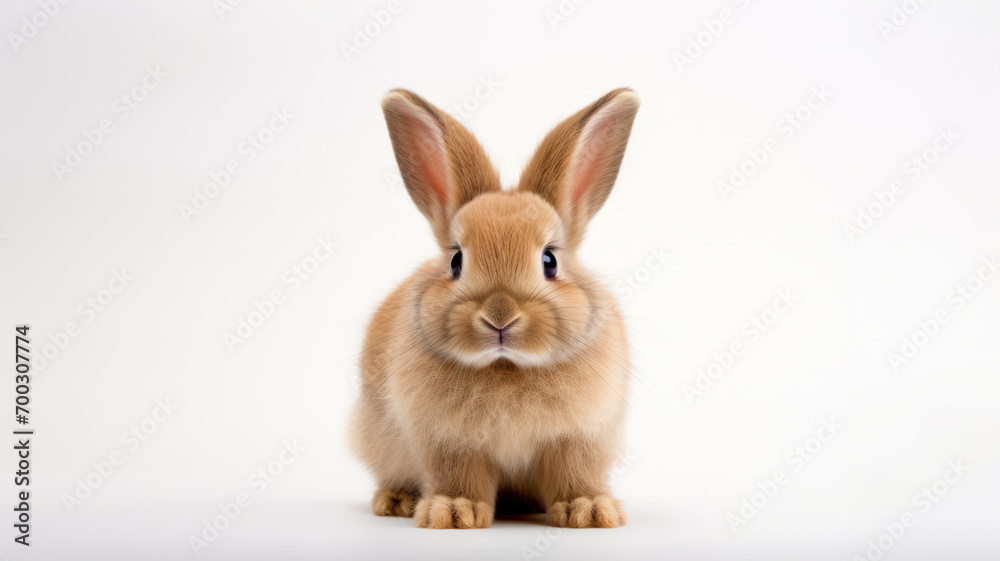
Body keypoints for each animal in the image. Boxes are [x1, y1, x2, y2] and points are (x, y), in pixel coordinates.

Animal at [349, 87, 640, 529]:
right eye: (456, 261)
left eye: (550, 261)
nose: (499, 318)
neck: (507, 367)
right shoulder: (451, 441)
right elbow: (460, 476)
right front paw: (454, 512)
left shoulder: (577, 438)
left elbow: (574, 473)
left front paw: (588, 511)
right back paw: (397, 501)